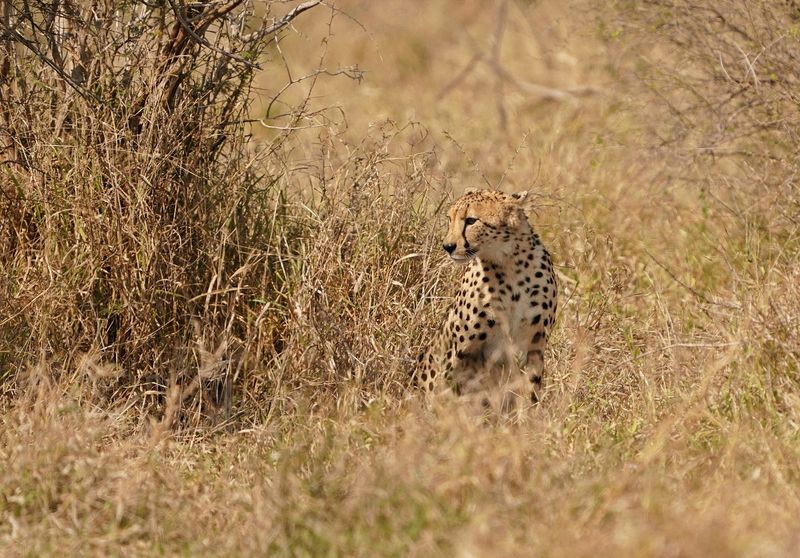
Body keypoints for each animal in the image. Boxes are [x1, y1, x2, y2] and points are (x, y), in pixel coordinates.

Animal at [414, 188, 558, 405]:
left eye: (471, 220)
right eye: (450, 219)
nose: (447, 246)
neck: (511, 263)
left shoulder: (535, 344)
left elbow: (530, 389)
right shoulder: (459, 349)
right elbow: (446, 384)